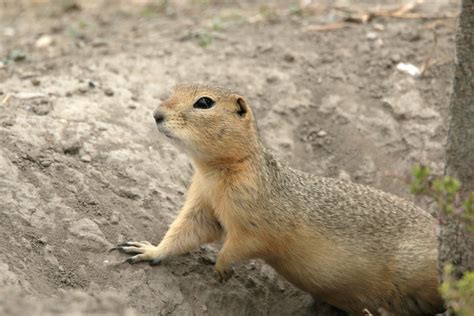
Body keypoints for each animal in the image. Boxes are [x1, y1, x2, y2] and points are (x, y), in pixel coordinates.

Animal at [113, 84, 446, 316]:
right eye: (174, 90)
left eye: (204, 102)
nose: (156, 114)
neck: (218, 171)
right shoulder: (202, 203)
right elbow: (186, 231)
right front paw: (147, 250)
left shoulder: (255, 217)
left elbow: (242, 244)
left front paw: (221, 268)